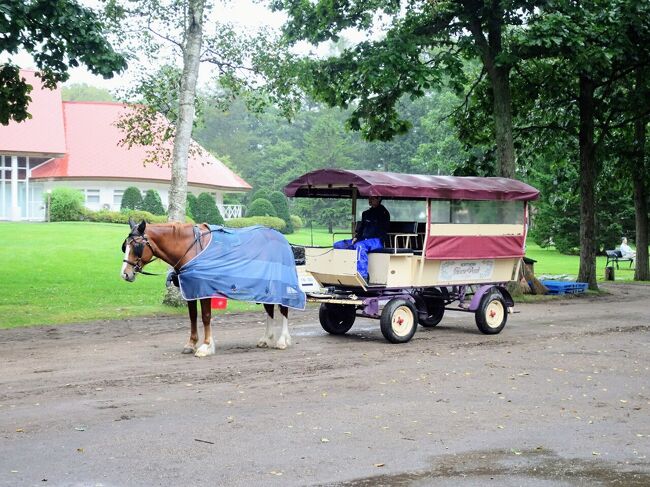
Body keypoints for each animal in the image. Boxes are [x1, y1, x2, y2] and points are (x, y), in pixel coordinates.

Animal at [120, 219, 302, 356]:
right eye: (125, 246)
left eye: (136, 247)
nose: (125, 274)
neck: (191, 248)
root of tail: (282, 239)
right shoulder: (190, 289)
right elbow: (193, 316)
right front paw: (191, 343)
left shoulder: (204, 289)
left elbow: (206, 317)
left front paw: (206, 346)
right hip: (266, 287)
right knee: (269, 309)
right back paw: (266, 338)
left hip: (280, 286)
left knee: (283, 309)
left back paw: (282, 340)